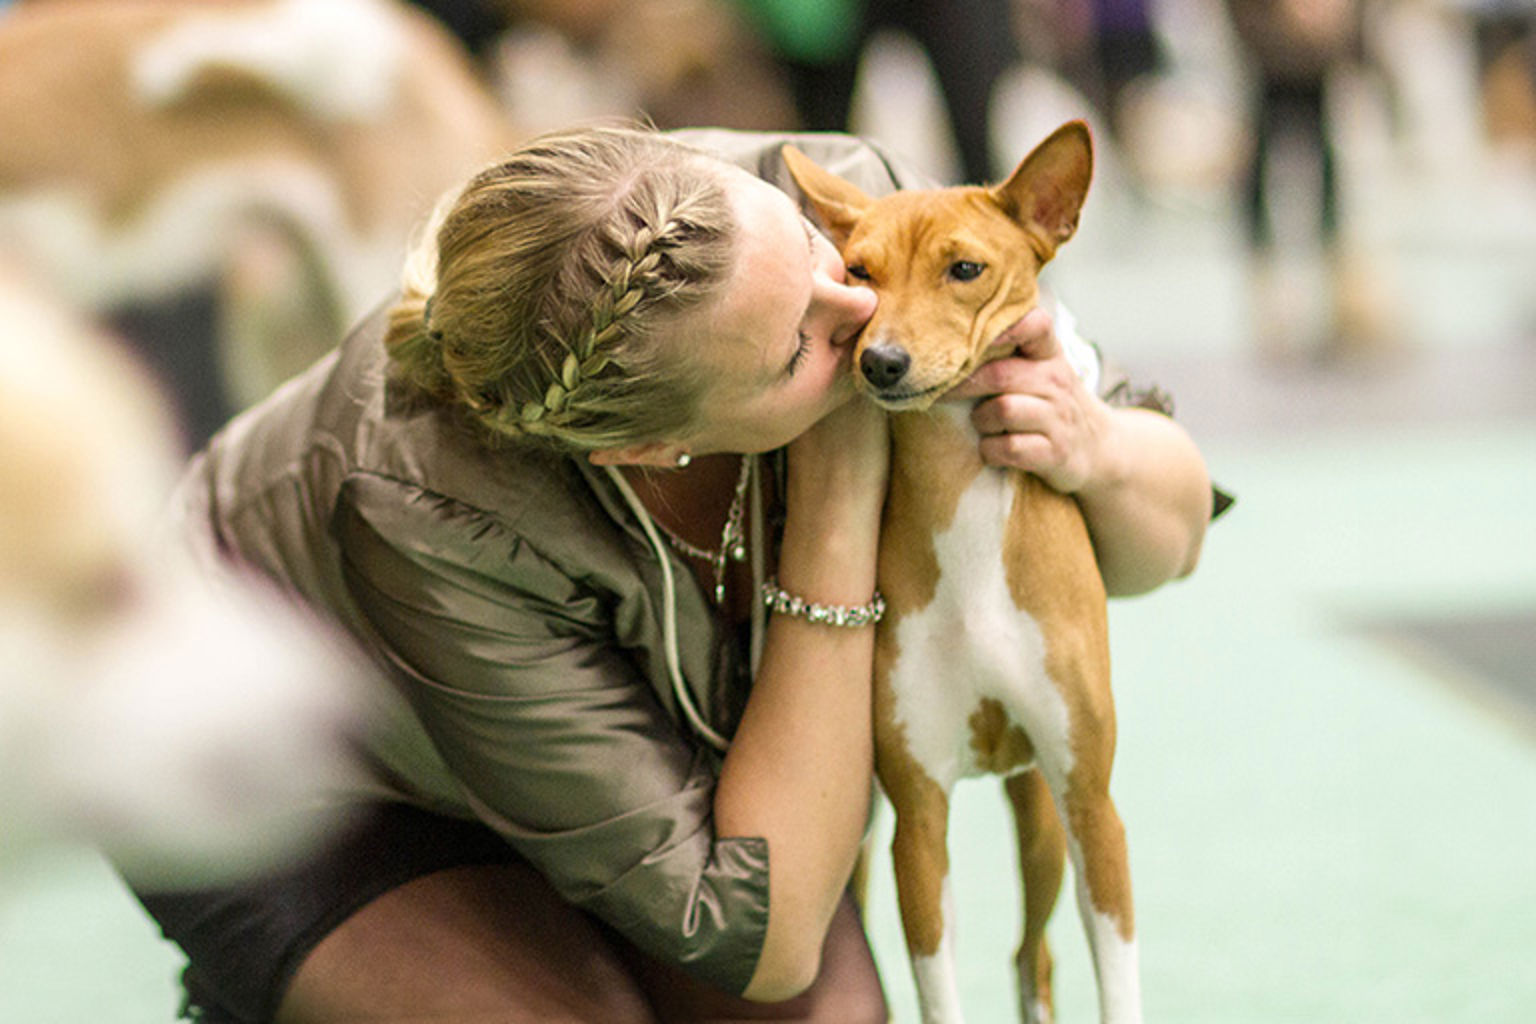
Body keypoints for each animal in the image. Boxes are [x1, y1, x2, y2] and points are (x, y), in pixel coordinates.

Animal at [792, 122, 1142, 1024]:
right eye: (859, 272)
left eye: (965, 269)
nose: (881, 361)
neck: (971, 532)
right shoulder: (919, 819)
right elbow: (936, 991)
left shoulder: (1092, 804)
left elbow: (1116, 987)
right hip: (873, 844)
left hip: (1044, 816)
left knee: (1033, 955)